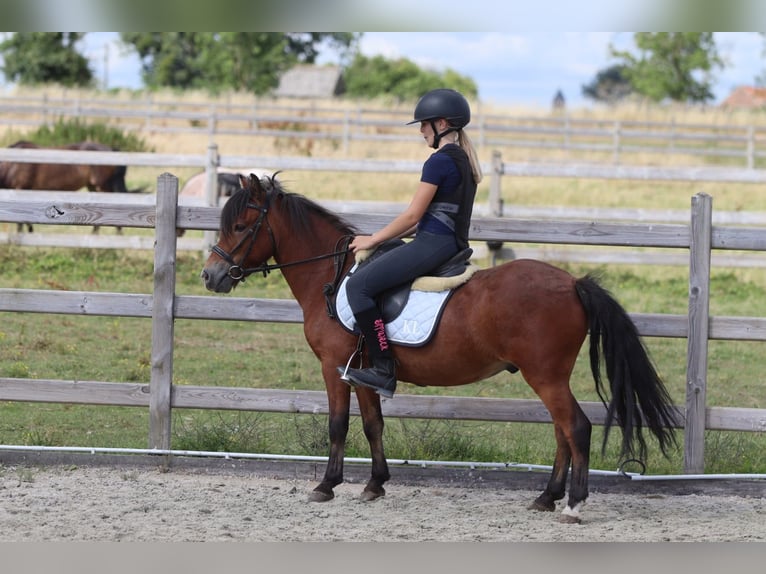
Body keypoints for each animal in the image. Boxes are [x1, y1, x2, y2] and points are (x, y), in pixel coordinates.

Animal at [201, 174, 680, 524]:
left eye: (241, 226)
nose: (211, 276)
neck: (330, 276)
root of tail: (572, 282)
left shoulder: (333, 366)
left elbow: (338, 426)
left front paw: (326, 486)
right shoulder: (363, 371)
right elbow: (373, 425)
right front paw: (374, 485)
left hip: (544, 375)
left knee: (575, 428)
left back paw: (574, 506)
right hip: (549, 377)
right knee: (563, 431)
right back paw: (546, 497)